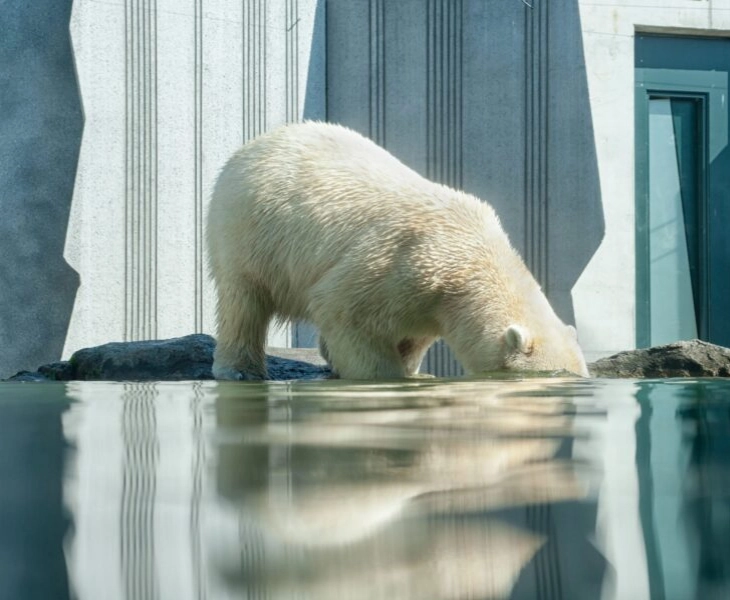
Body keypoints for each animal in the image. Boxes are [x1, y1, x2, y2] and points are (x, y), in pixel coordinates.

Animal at [205, 122, 584, 380]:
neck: (472, 259)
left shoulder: (430, 301)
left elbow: (413, 335)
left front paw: (415, 371)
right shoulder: (403, 262)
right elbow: (343, 309)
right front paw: (389, 376)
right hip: (250, 231)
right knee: (243, 300)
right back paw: (241, 369)